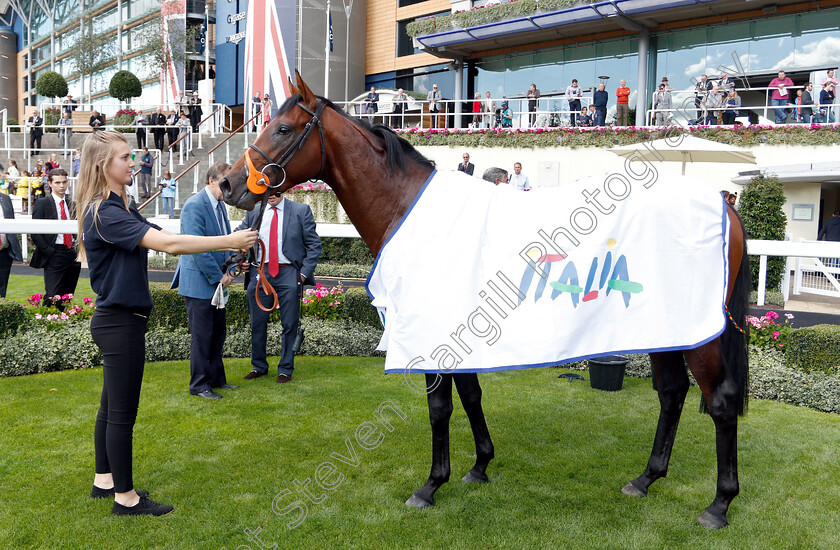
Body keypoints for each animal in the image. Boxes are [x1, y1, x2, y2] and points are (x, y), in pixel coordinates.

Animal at [220, 73, 752, 532]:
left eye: (283, 127)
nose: (226, 183)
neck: (407, 209)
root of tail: (722, 203)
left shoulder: (431, 332)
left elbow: (440, 408)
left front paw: (431, 486)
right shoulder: (460, 334)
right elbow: (471, 395)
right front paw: (479, 466)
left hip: (701, 336)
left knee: (720, 402)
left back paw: (719, 504)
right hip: (667, 327)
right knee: (672, 394)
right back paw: (646, 479)